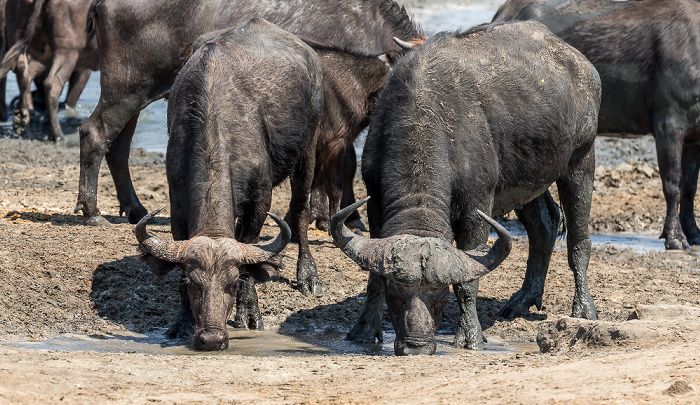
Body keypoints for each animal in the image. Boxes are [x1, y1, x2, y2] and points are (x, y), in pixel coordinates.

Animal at [133, 18, 322, 348]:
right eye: (192, 283)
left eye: (232, 284)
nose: (211, 338)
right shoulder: (177, 203)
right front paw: (182, 321)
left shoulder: (259, 201)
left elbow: (250, 246)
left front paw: (249, 314)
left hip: (308, 150)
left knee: (300, 210)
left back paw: (308, 276)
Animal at [334, 21, 600, 354]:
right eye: (397, 294)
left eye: (440, 294)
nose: (416, 346)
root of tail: (581, 64)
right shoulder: (374, 203)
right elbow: (373, 277)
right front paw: (364, 328)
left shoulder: (477, 209)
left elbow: (468, 280)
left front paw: (470, 335)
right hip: (527, 180)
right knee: (545, 224)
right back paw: (522, 301)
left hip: (581, 158)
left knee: (579, 240)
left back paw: (584, 310)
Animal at [492, 0, 700, 249]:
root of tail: (503, 13)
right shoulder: (668, 126)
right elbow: (673, 186)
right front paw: (675, 237)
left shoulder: (695, 137)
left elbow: (690, 188)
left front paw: (694, 232)